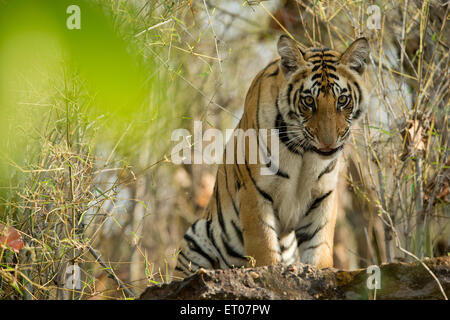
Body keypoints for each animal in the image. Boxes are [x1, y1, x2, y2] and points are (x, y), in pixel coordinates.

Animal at [176, 33, 370, 276]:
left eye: (342, 100)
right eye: (308, 101)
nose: (328, 142)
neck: (305, 153)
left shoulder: (324, 193)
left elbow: (320, 244)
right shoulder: (254, 189)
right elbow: (263, 244)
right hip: (198, 235)